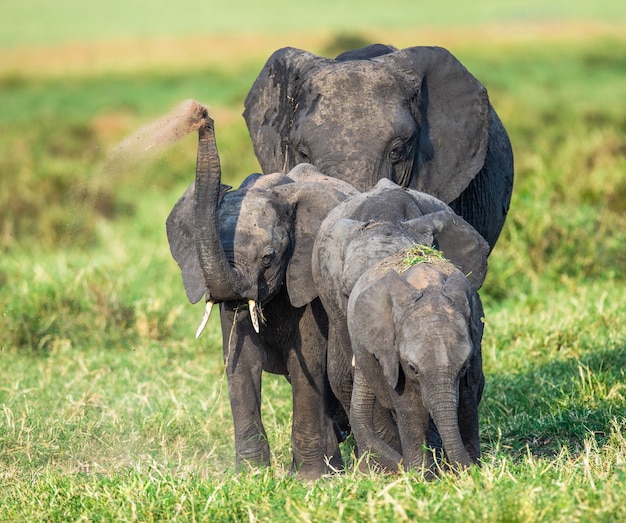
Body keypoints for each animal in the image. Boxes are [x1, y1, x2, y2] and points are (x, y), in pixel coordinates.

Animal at [166, 104, 358, 482]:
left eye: (269, 258)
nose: (202, 116)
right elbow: (240, 363)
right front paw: (251, 476)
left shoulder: (308, 282)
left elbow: (307, 365)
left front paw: (310, 479)